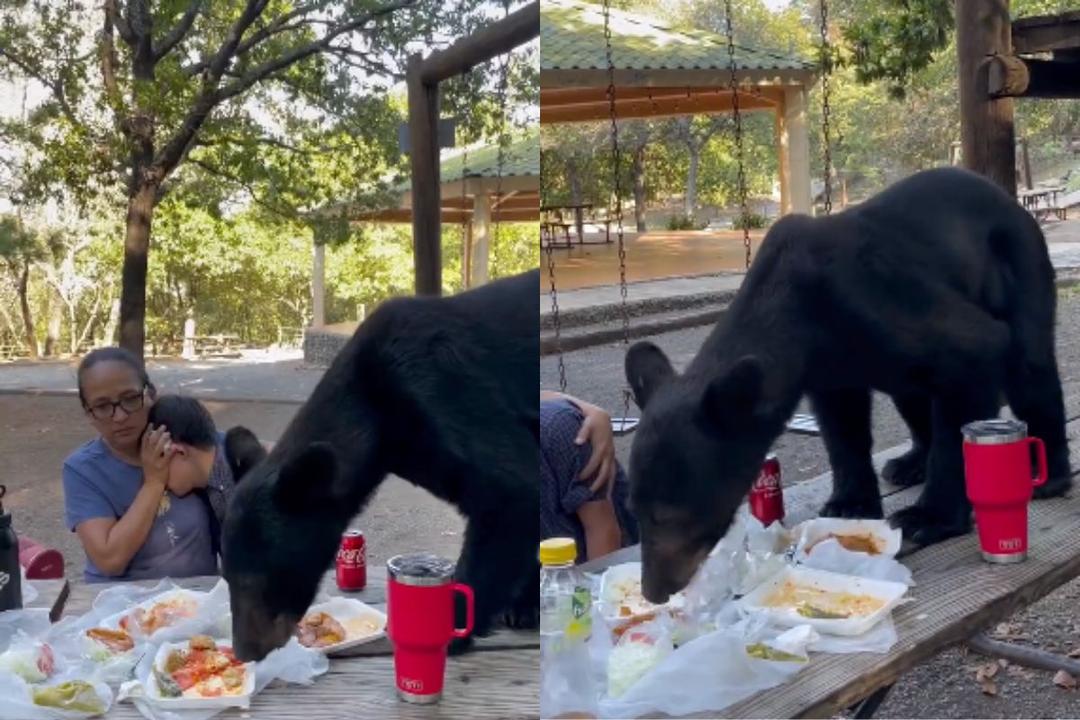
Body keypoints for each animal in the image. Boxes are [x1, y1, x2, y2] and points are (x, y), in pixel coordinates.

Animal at [224, 268, 540, 660]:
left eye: (258, 578)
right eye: (225, 574)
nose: (245, 651)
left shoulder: (442, 387)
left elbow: (511, 487)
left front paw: (451, 628)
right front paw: (522, 604)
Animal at [626, 167, 1071, 604]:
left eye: (669, 514)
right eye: (635, 509)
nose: (655, 590)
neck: (799, 316)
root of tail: (1009, 199)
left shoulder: (875, 298)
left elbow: (977, 353)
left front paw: (929, 517)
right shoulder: (828, 371)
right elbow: (842, 427)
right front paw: (849, 504)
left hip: (1019, 265)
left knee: (1029, 366)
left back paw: (1049, 473)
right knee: (914, 397)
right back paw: (910, 462)